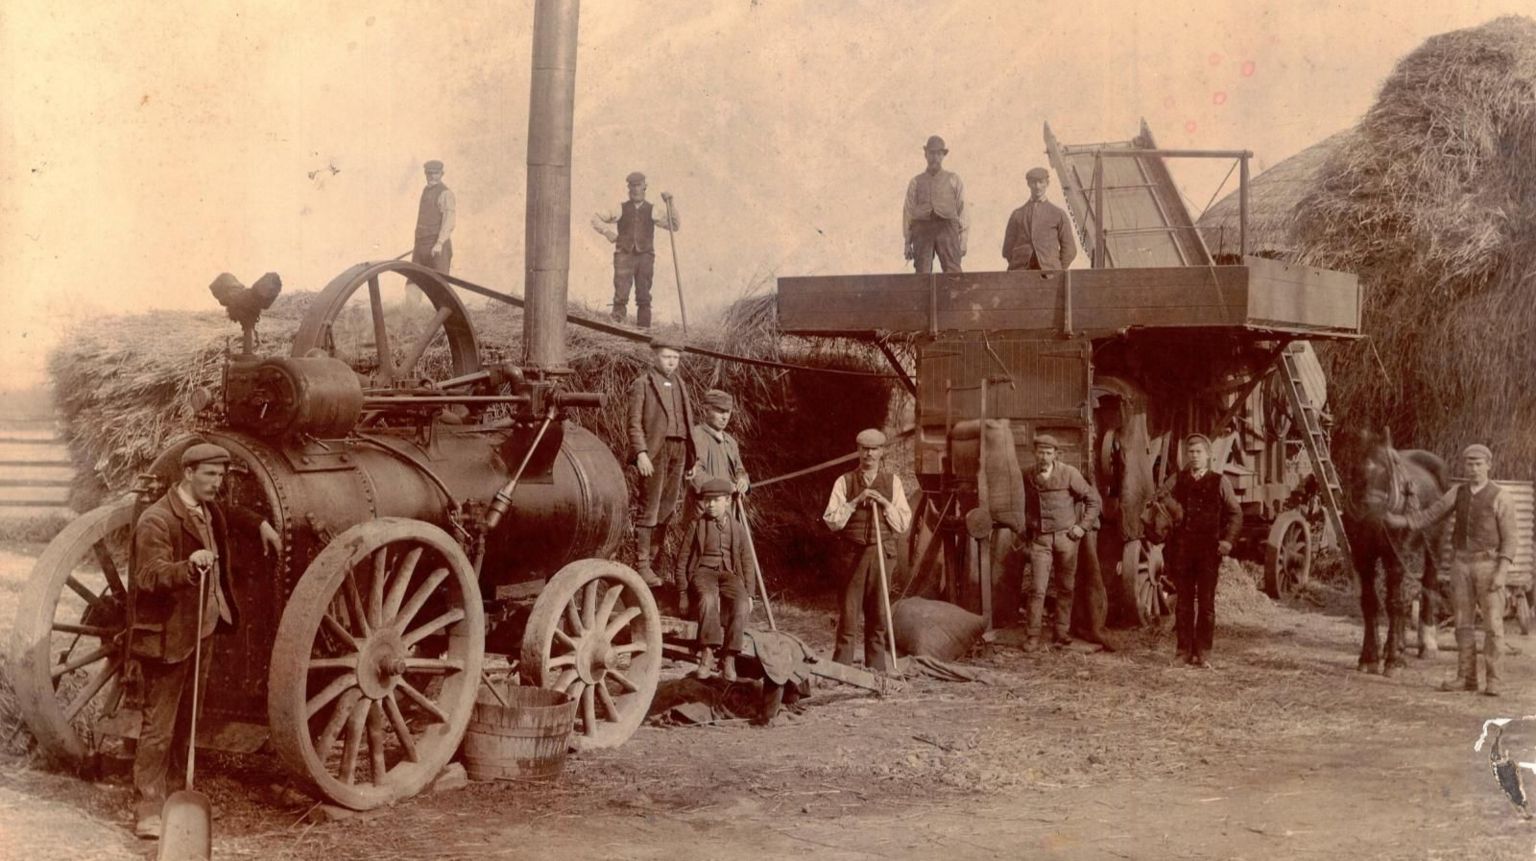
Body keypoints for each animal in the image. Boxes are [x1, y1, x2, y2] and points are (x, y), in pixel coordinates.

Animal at [1339, 426, 1443, 675]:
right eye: (1355, 471)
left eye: (1392, 469)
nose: (1374, 521)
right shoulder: (1362, 557)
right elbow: (1370, 602)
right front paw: (1370, 658)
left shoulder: (1394, 556)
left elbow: (1394, 602)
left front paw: (1393, 661)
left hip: (1432, 545)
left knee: (1428, 583)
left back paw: (1427, 645)